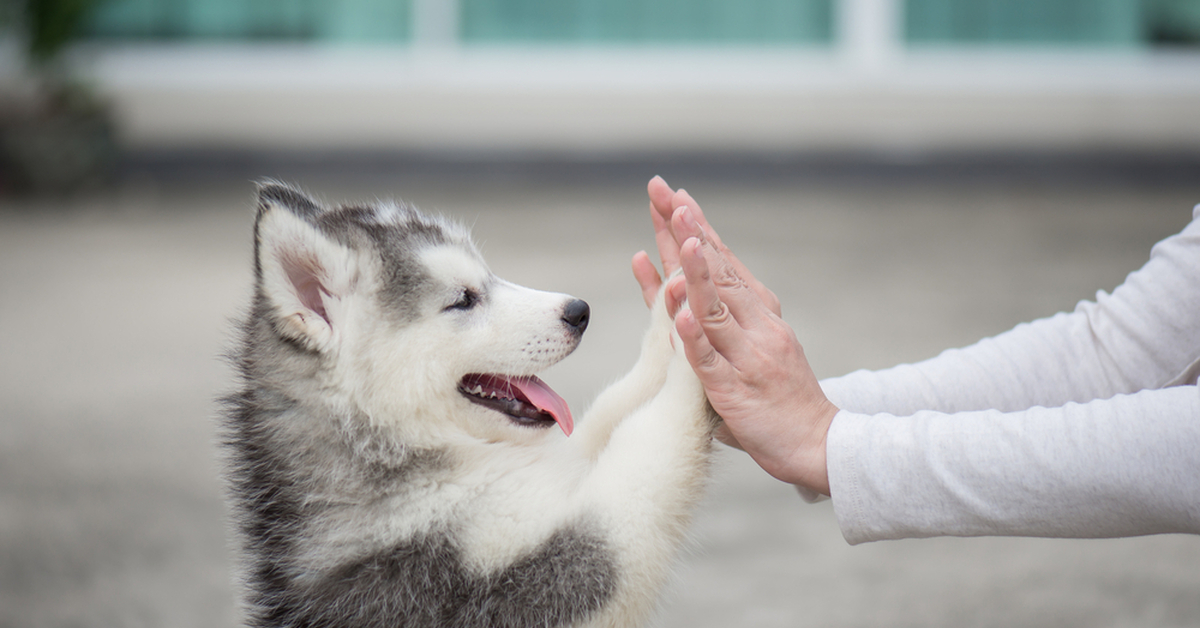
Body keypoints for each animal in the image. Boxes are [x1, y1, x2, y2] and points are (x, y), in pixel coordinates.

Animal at [222, 182, 715, 628]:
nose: (579, 311)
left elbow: (611, 410)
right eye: (463, 300)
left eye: (489, 277)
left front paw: (674, 313)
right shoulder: (544, 574)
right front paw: (699, 351)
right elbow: (647, 446)